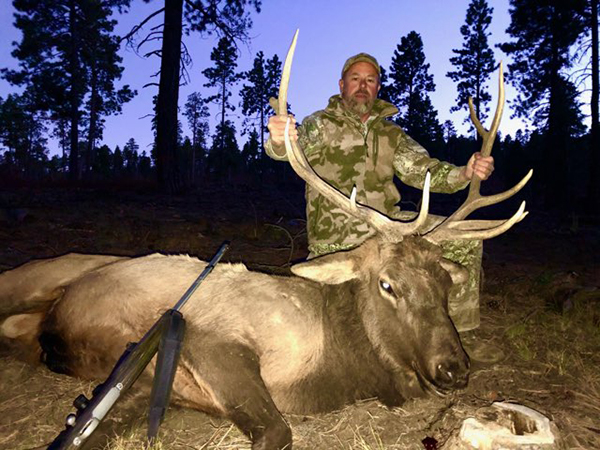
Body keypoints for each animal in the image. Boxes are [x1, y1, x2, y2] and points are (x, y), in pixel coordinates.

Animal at [0, 31, 532, 450]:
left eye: (445, 285)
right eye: (387, 284)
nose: (455, 368)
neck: (331, 367)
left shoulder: (150, 380)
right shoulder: (212, 337)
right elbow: (277, 430)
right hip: (34, 275)